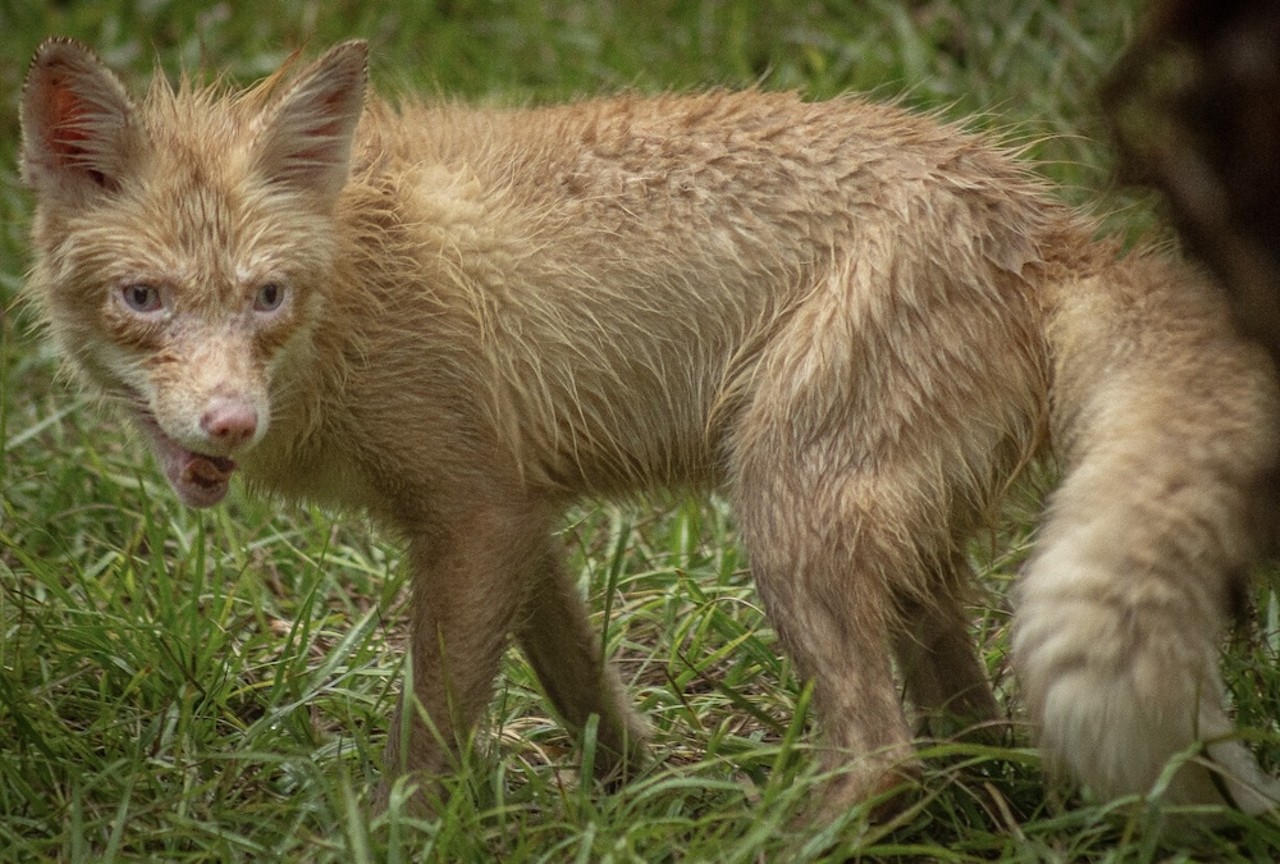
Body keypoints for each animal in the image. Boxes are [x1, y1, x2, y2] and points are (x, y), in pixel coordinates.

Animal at [17, 35, 1280, 819]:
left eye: (267, 297)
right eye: (144, 299)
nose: (227, 422)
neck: (355, 288)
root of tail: (1047, 219)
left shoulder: (472, 516)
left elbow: (424, 747)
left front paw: (393, 831)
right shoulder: (514, 521)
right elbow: (588, 703)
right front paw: (638, 804)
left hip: (781, 507)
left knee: (877, 751)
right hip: (903, 558)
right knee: (972, 736)